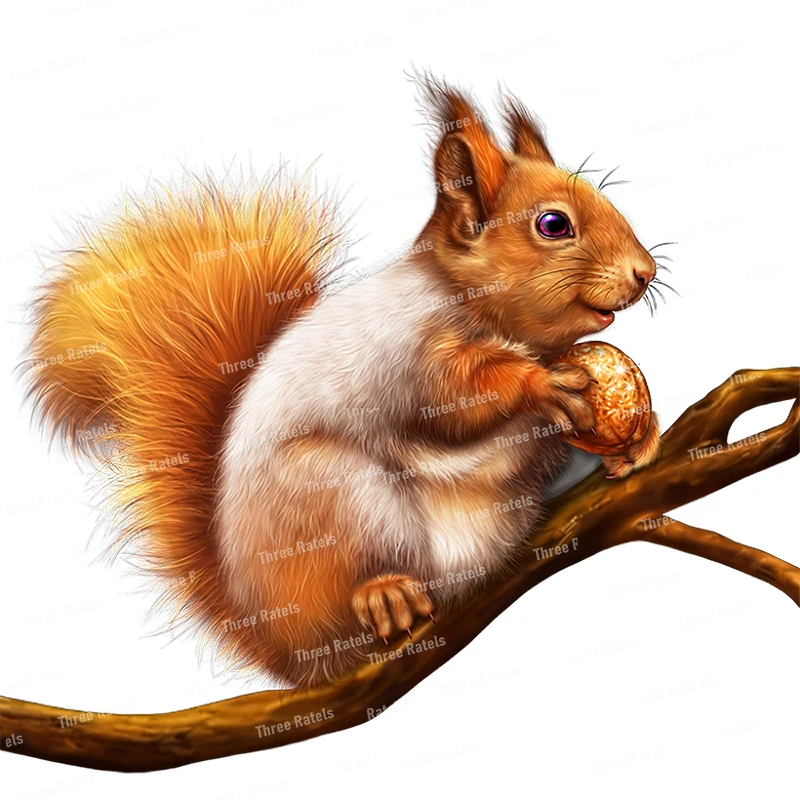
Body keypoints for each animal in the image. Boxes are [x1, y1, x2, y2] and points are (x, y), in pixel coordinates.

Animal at [24, 75, 661, 687]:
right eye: (552, 224)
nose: (646, 271)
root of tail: (273, 645)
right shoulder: (404, 354)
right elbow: (451, 401)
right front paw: (543, 384)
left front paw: (642, 436)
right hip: (337, 495)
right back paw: (381, 594)